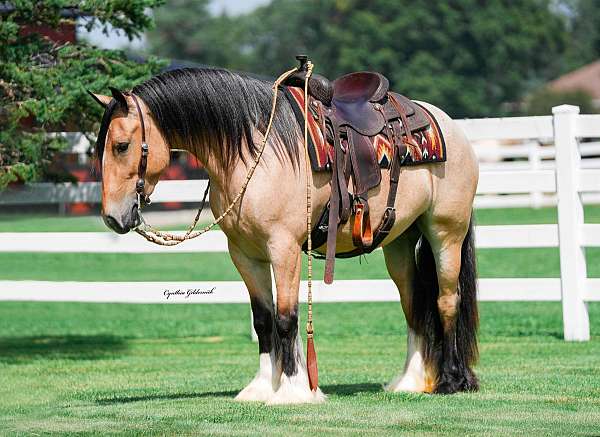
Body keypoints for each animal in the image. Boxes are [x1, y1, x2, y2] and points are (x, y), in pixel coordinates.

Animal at [89, 59, 480, 404]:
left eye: (121, 145)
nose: (112, 217)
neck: (252, 153)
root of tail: (446, 124)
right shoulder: (245, 254)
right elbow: (264, 321)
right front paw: (261, 387)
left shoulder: (284, 248)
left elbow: (287, 319)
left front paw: (294, 390)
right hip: (398, 241)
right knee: (413, 304)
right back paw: (409, 381)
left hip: (446, 232)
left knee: (447, 300)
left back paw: (452, 380)